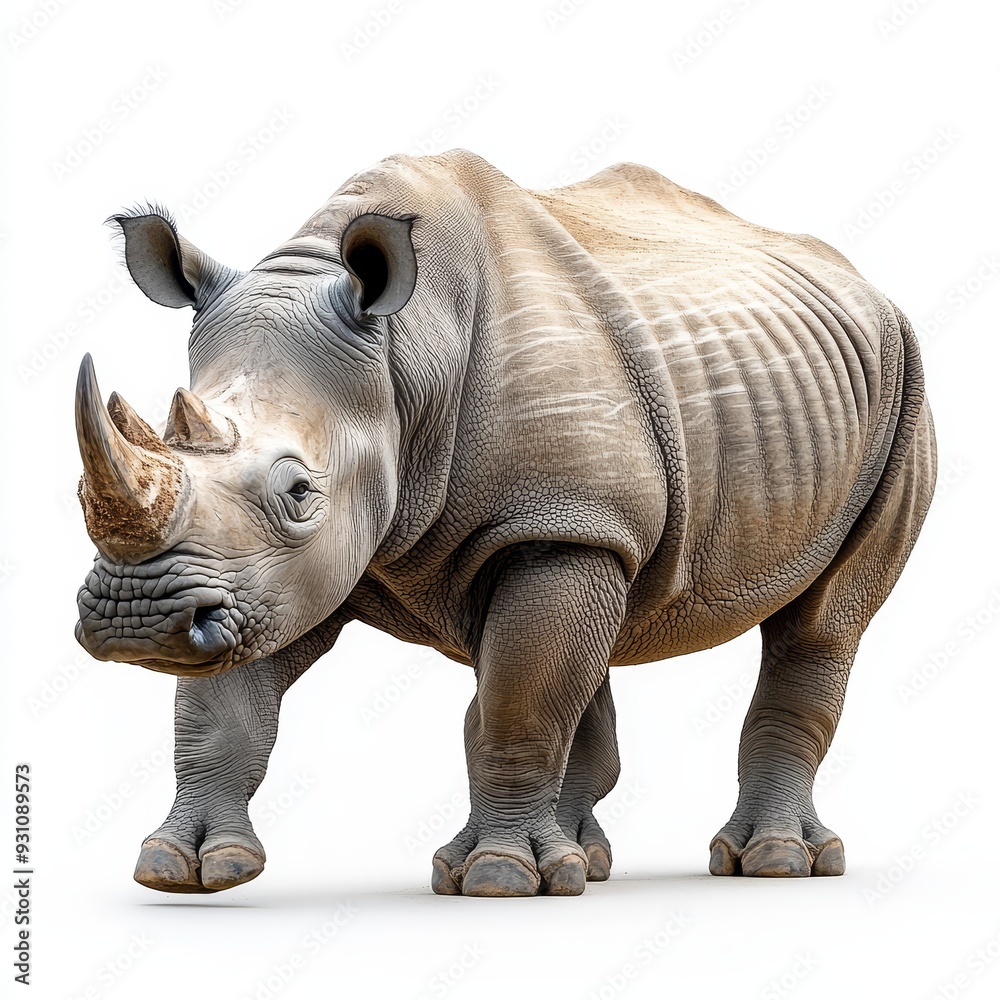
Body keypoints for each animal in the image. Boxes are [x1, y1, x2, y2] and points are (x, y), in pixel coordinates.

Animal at [74, 149, 936, 897]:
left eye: (299, 491)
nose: (134, 617)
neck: (404, 358)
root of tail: (864, 281)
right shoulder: (270, 572)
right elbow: (221, 709)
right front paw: (184, 868)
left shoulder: (555, 518)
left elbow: (518, 705)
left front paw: (499, 879)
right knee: (597, 638)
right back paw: (584, 863)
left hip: (904, 391)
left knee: (822, 626)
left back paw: (773, 864)